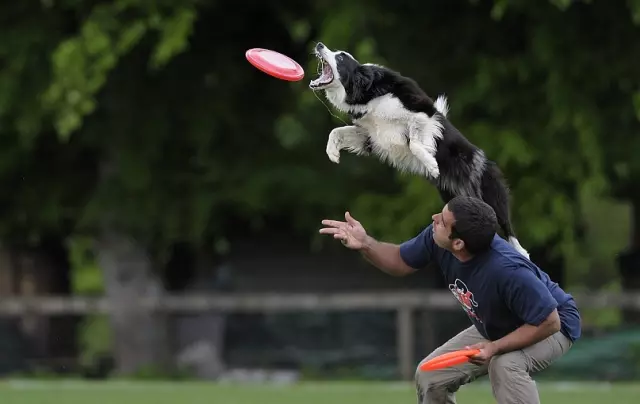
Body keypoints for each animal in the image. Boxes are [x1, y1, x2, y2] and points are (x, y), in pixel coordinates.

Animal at [308, 42, 528, 258]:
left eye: (341, 57)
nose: (319, 45)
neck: (367, 92)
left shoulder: (423, 114)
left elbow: (414, 143)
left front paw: (431, 165)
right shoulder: (369, 134)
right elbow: (336, 131)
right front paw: (332, 153)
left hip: (487, 188)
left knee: (506, 226)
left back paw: (522, 253)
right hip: (453, 196)